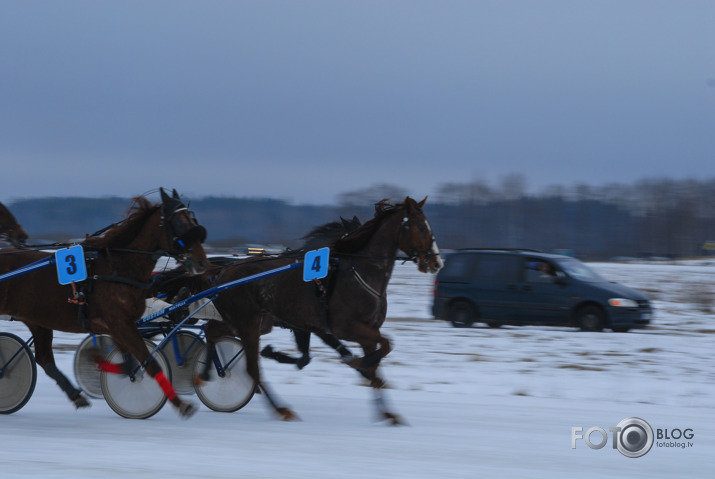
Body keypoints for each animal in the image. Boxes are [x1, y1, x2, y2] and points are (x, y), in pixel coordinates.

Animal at [0, 189, 207, 418]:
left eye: (193, 220)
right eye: (178, 223)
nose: (202, 261)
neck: (117, 268)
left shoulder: (117, 326)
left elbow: (127, 365)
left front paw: (97, 361)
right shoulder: (120, 323)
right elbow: (149, 363)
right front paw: (181, 404)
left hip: (38, 320)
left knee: (45, 359)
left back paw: (76, 395)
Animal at [196, 196, 442, 424]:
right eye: (421, 227)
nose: (436, 263)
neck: (356, 273)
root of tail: (224, 272)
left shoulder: (357, 329)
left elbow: (377, 355)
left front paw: (388, 412)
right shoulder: (343, 327)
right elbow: (385, 346)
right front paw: (363, 365)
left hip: (245, 321)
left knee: (211, 331)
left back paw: (206, 373)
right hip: (247, 322)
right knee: (251, 368)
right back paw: (280, 409)